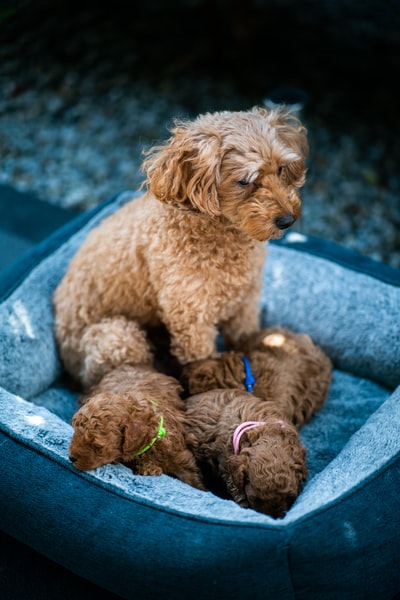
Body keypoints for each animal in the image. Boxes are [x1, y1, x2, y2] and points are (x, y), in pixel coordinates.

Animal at [53, 106, 308, 390]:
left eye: (281, 168)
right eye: (244, 181)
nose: (287, 219)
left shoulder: (246, 300)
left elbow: (244, 335)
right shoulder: (190, 314)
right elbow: (201, 357)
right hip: (117, 337)